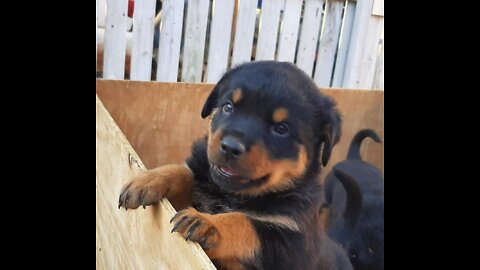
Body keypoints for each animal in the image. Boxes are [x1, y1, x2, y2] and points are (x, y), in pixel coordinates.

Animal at [118, 61, 352, 270]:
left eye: (282, 129)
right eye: (228, 107)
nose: (230, 147)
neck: (232, 195)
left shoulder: (290, 243)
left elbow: (246, 222)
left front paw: (207, 222)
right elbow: (185, 172)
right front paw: (147, 180)